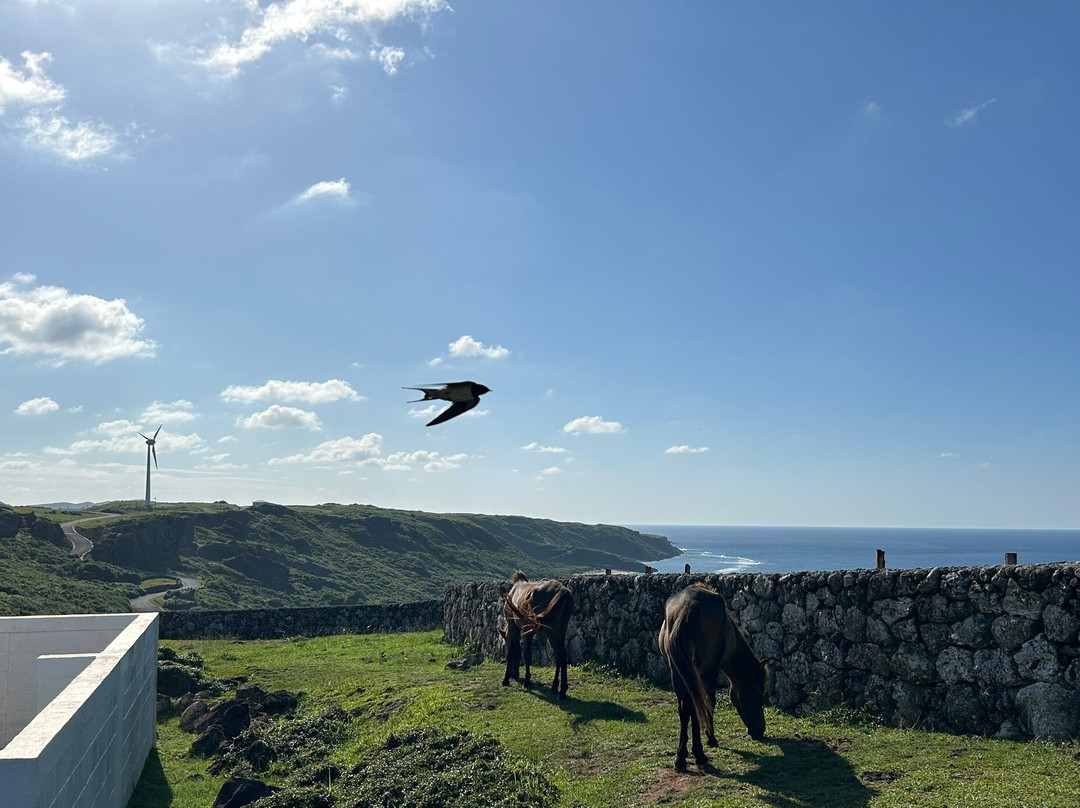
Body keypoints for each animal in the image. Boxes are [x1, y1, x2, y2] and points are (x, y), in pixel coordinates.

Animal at [656, 583, 768, 769]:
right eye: (759, 695)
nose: (760, 730)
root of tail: (690, 604)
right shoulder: (712, 670)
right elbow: (710, 702)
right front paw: (711, 738)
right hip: (703, 671)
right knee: (699, 704)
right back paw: (699, 754)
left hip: (678, 672)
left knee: (684, 707)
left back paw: (680, 757)